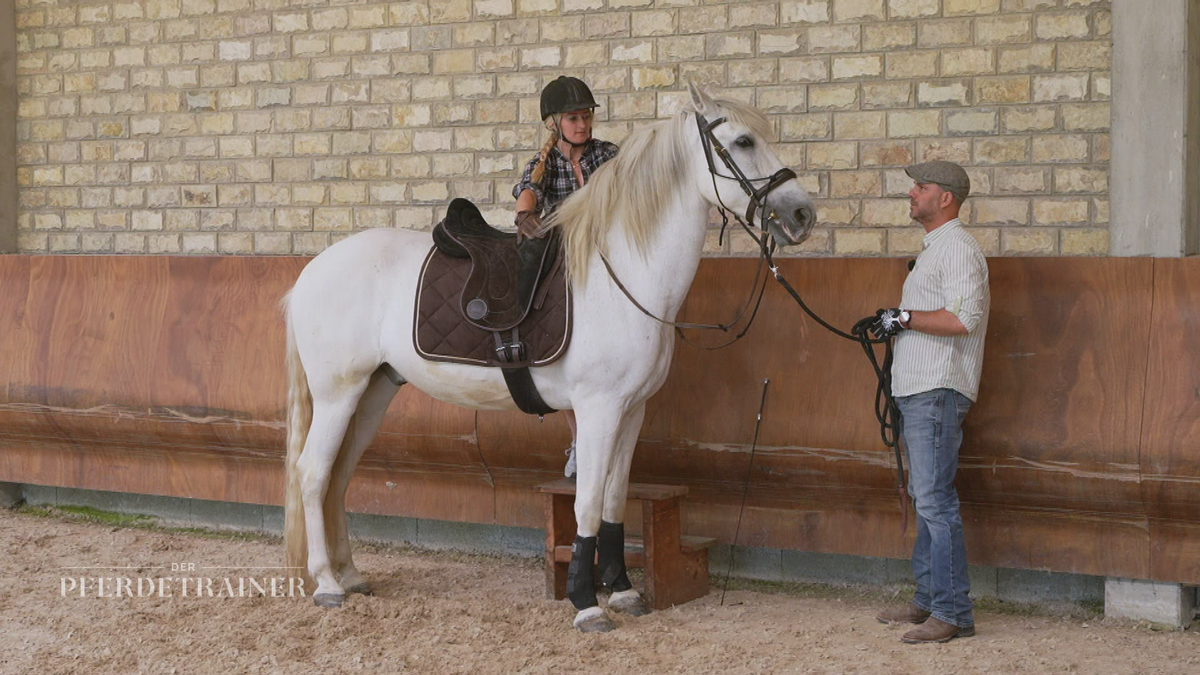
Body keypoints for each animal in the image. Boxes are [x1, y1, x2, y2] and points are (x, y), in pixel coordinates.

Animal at [283, 85, 816, 629]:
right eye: (744, 141)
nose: (802, 215)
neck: (619, 274)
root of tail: (310, 274)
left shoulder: (631, 411)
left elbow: (615, 499)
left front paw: (621, 590)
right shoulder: (598, 410)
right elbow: (587, 505)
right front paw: (586, 602)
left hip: (373, 393)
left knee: (338, 475)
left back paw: (350, 574)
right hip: (338, 394)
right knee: (312, 473)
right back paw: (327, 583)